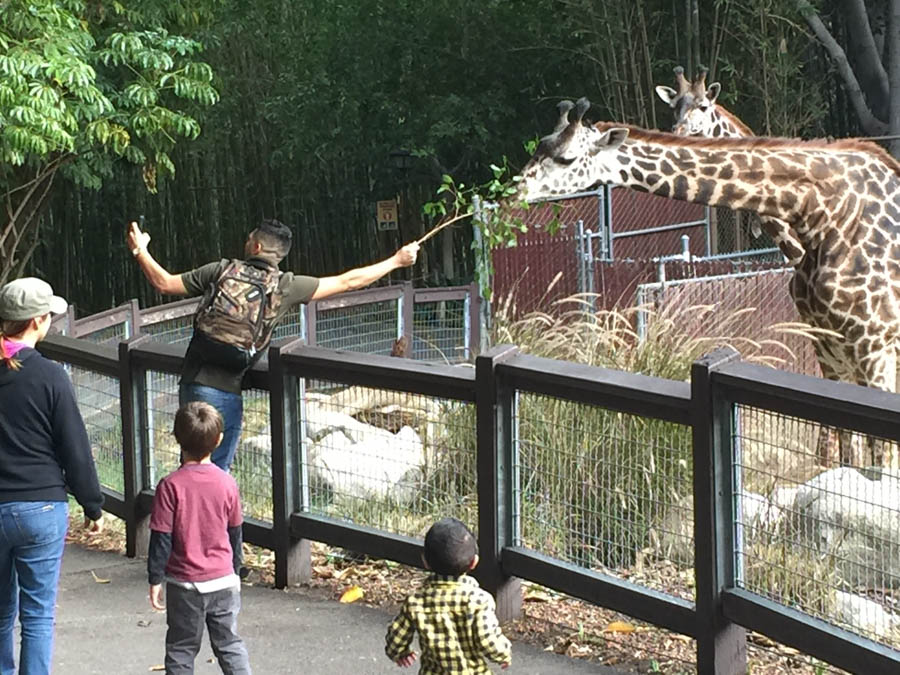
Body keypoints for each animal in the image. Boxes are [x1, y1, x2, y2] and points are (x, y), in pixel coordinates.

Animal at [516, 97, 900, 468]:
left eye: (566, 158)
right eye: (540, 145)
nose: (517, 188)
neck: (819, 212)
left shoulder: (872, 345)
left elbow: (879, 462)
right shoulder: (828, 344)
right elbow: (850, 459)